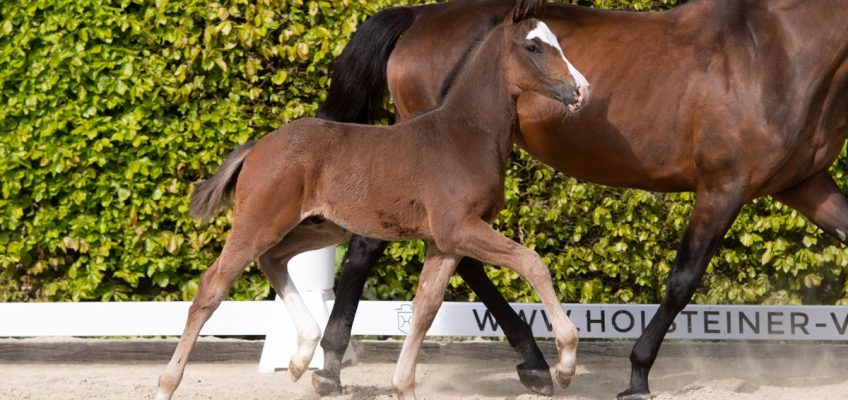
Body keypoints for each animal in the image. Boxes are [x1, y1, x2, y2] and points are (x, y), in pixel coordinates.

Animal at [152, 3, 588, 400]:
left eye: (557, 42)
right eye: (533, 46)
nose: (582, 90)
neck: (465, 134)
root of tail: (258, 146)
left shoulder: (445, 241)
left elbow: (425, 307)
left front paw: (402, 386)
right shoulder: (460, 229)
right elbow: (532, 263)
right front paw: (565, 364)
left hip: (323, 227)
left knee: (273, 259)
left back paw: (301, 358)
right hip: (259, 221)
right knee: (212, 287)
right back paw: (167, 384)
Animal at [310, 0, 848, 400]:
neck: (777, 49)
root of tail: (421, 15)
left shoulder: (805, 184)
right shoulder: (723, 186)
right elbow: (683, 281)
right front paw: (637, 377)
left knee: (452, 256)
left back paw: (531, 363)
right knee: (383, 246)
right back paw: (331, 366)